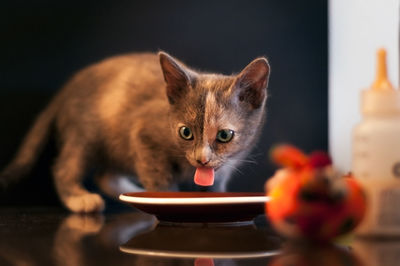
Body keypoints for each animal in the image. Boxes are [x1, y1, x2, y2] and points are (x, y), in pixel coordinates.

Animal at [0, 52, 270, 212]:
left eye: (224, 135)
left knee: (105, 175)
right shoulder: (144, 133)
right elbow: (161, 180)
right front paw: (165, 199)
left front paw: (215, 197)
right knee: (66, 166)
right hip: (86, 134)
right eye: (185, 132)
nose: (201, 159)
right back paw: (79, 198)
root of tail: (67, 87)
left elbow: (215, 184)